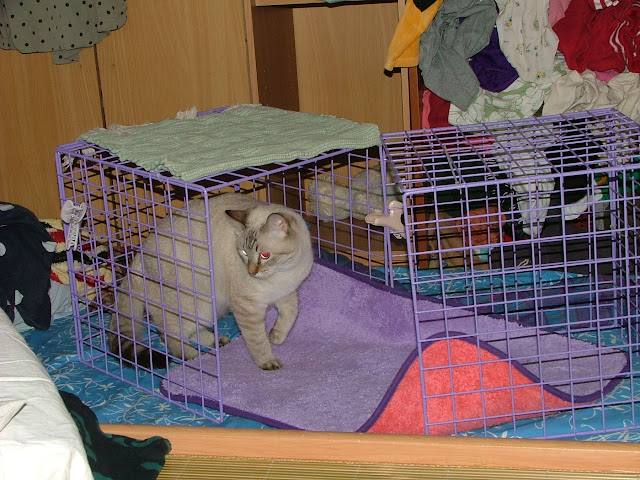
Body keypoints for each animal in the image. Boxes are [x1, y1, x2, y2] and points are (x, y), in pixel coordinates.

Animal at [109, 192, 313, 370]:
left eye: (265, 255)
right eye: (244, 253)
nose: (251, 272)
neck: (284, 272)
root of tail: (139, 254)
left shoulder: (286, 292)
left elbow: (291, 314)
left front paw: (276, 336)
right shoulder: (248, 308)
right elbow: (257, 341)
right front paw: (268, 361)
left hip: (204, 311)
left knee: (191, 331)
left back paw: (217, 341)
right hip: (191, 306)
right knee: (169, 333)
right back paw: (192, 357)